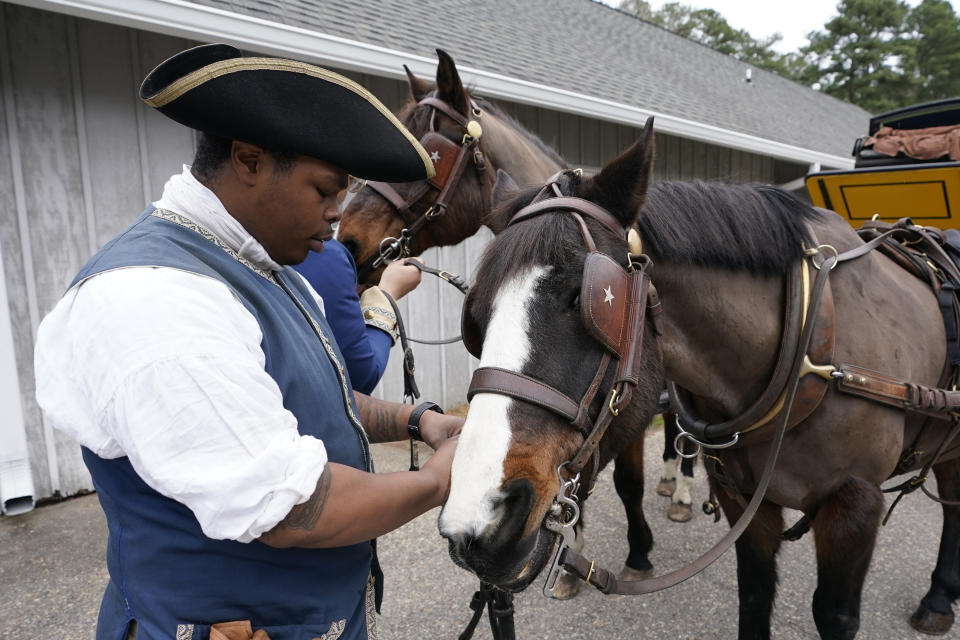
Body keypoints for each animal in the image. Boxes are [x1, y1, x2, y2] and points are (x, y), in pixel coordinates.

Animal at [440, 121, 960, 640]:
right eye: (475, 315)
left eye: (586, 298)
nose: (478, 520)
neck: (808, 344)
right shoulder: (743, 500)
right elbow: (753, 594)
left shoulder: (856, 507)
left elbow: (835, 616)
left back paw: (938, 598)